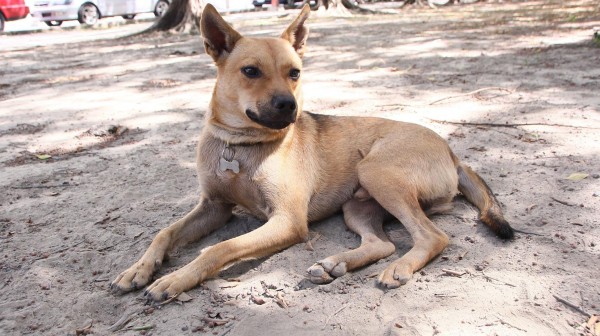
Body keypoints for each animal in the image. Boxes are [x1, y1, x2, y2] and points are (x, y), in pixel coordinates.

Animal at [110, 3, 512, 302]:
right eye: (250, 71)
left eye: (295, 73)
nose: (289, 106)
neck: (239, 146)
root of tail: (451, 152)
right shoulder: (213, 207)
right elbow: (164, 232)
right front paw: (138, 269)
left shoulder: (288, 221)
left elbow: (217, 249)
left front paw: (174, 279)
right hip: (358, 205)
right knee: (382, 243)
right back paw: (336, 264)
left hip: (377, 172)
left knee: (432, 237)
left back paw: (399, 268)